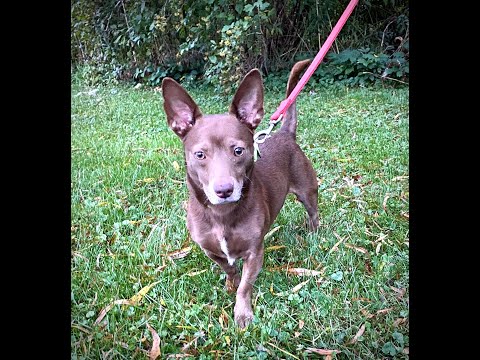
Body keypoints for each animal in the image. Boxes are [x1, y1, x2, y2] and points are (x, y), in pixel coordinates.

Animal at [162, 59, 318, 326]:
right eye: (200, 155)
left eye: (238, 151)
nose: (224, 190)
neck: (222, 214)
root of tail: (284, 133)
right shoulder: (211, 250)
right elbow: (229, 268)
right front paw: (229, 284)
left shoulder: (255, 252)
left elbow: (246, 285)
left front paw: (242, 312)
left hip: (307, 190)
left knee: (313, 211)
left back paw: (315, 234)